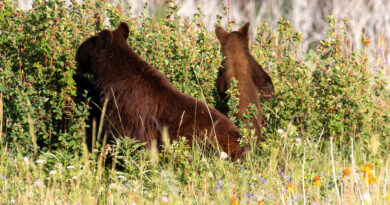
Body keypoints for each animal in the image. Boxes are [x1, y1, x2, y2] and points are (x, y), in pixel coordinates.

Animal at [75, 22, 244, 159]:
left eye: (84, 46)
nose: (76, 55)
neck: (113, 75)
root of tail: (243, 142)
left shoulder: (127, 111)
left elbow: (125, 138)